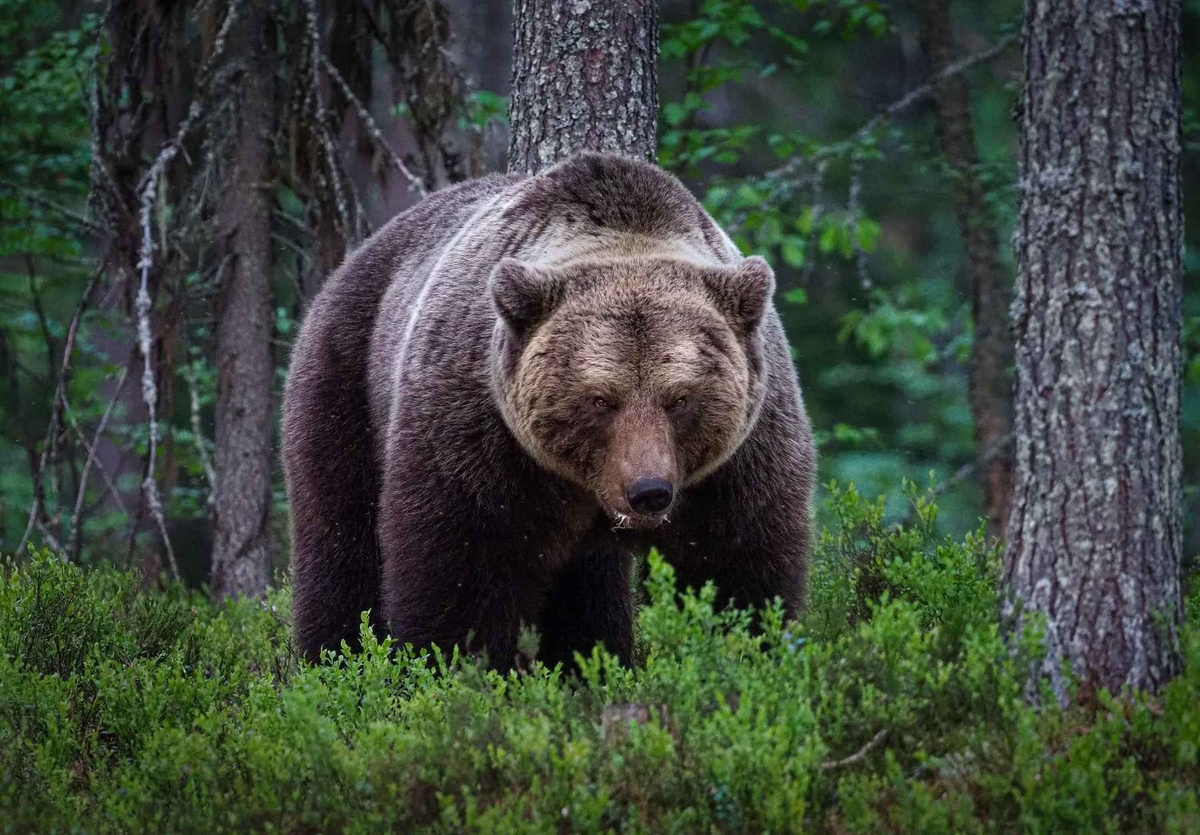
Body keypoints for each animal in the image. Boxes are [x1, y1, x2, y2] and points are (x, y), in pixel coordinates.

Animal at [282, 152, 816, 669]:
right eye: (600, 400)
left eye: (680, 399)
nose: (649, 492)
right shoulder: (480, 432)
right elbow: (461, 566)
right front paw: (453, 667)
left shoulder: (740, 453)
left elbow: (738, 564)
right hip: (345, 374)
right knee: (340, 537)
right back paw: (332, 659)